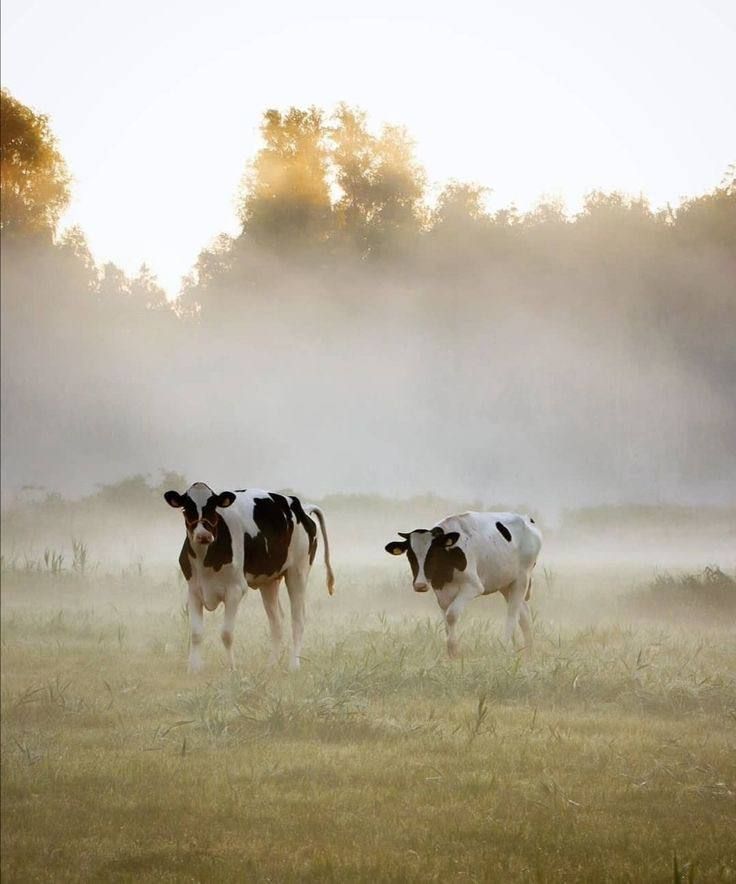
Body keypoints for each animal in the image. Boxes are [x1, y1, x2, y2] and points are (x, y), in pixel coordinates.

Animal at [164, 484, 334, 668]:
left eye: (213, 507)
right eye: (186, 509)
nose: (203, 535)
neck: (206, 561)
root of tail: (302, 507)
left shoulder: (235, 590)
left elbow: (226, 634)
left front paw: (231, 668)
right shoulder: (194, 590)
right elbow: (196, 633)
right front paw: (193, 669)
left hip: (298, 572)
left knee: (298, 620)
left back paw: (294, 665)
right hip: (269, 581)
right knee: (276, 623)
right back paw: (271, 665)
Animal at [386, 512, 540, 656]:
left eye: (433, 554)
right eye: (410, 556)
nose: (420, 585)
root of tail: (526, 519)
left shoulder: (473, 586)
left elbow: (451, 615)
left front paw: (453, 650)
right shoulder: (441, 592)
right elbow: (446, 619)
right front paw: (451, 651)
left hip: (522, 578)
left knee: (513, 613)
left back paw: (504, 646)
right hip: (505, 583)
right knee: (524, 614)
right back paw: (529, 652)